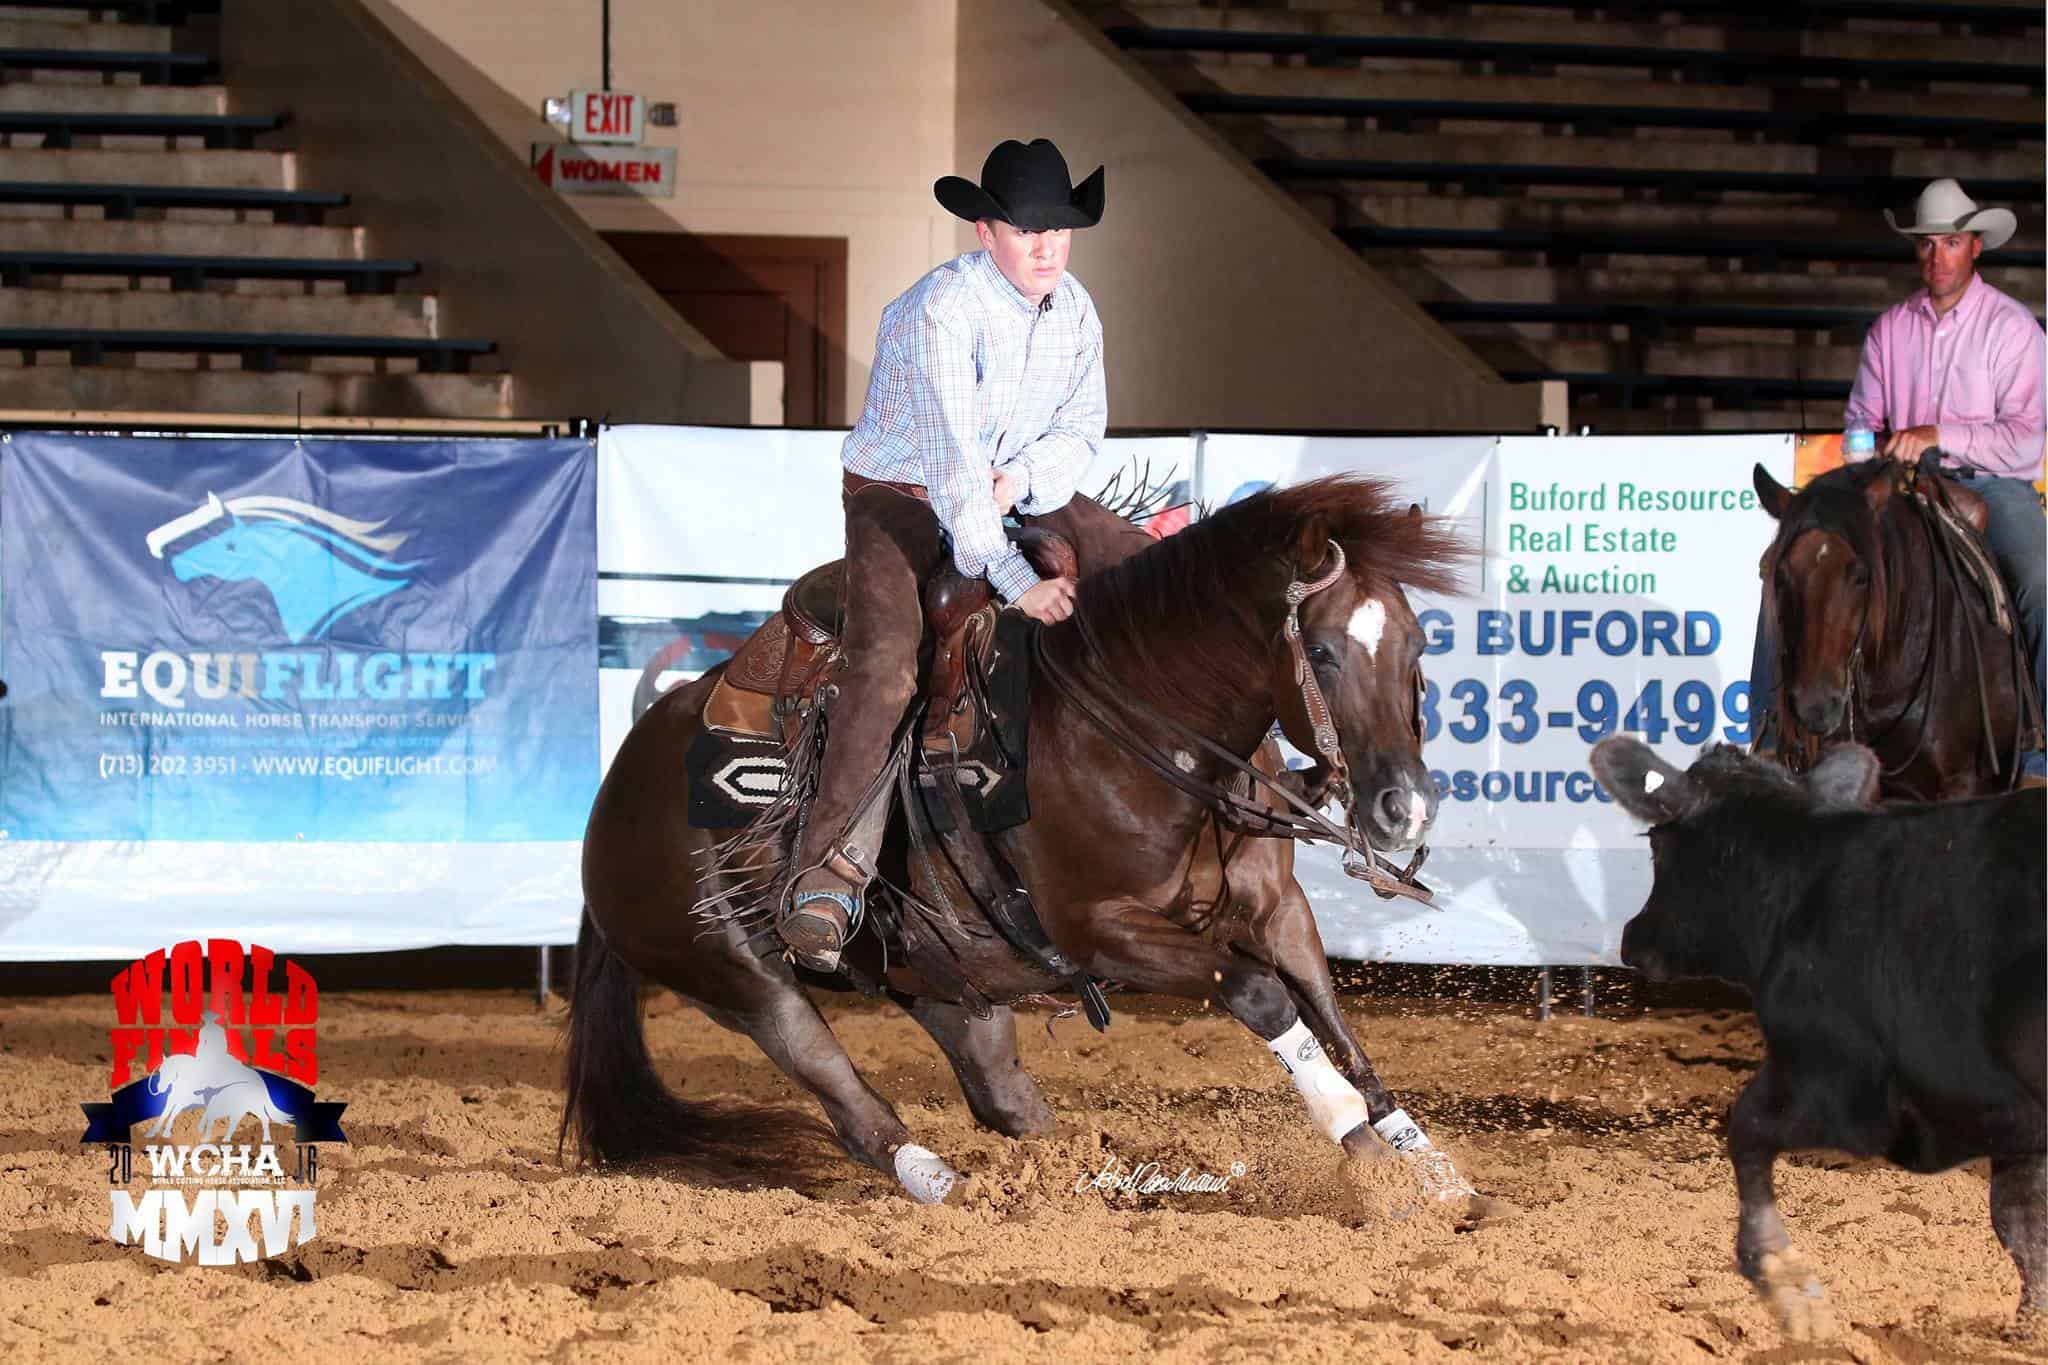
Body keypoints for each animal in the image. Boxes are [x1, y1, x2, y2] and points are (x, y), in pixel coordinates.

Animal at [564, 475, 1478, 1205]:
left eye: (1418, 642)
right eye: (1319, 651)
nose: (1405, 807)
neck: (1138, 716)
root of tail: (618, 784)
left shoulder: (1277, 906)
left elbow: (1331, 1014)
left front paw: (1431, 1171)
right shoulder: (1102, 930)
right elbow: (1260, 994)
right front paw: (1363, 1150)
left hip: (947, 973)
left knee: (1003, 1097)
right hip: (737, 974)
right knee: (844, 1094)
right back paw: (949, 1182)